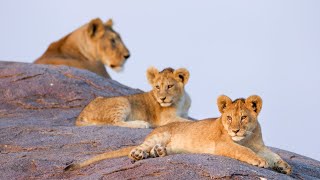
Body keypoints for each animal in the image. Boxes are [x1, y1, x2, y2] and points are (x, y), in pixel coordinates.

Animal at [66, 94, 292, 174]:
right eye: (229, 118)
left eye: (244, 117)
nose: (235, 130)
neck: (248, 137)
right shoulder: (224, 144)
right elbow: (244, 151)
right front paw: (260, 162)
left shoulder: (260, 145)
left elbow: (274, 154)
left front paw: (283, 166)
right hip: (159, 134)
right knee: (138, 148)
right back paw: (141, 153)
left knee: (155, 150)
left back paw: (160, 153)